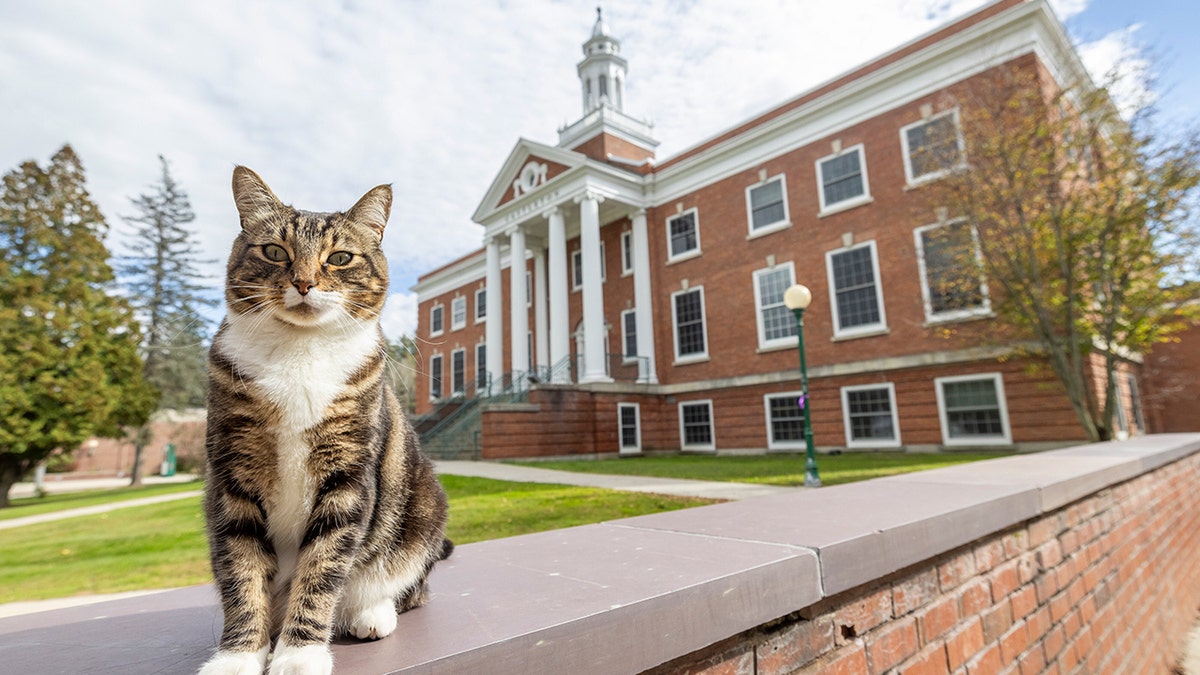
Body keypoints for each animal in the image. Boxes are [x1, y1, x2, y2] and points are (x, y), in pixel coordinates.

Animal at [202, 164, 453, 672]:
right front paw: (239, 655)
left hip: (424, 508)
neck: (300, 352)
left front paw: (299, 653)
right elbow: (242, 572)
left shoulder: (348, 475)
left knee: (409, 585)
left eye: (339, 258)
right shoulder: (232, 477)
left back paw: (372, 612)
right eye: (274, 251)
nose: (303, 283)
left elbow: (322, 567)